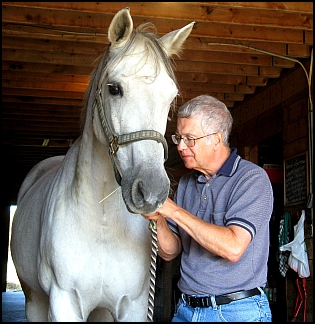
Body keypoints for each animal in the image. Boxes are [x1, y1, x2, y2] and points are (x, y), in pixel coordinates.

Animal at [10, 8, 195, 322]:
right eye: (114, 88)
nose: (151, 192)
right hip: (35, 300)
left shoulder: (132, 306)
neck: (103, 222)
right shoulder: (63, 302)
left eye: (171, 97)